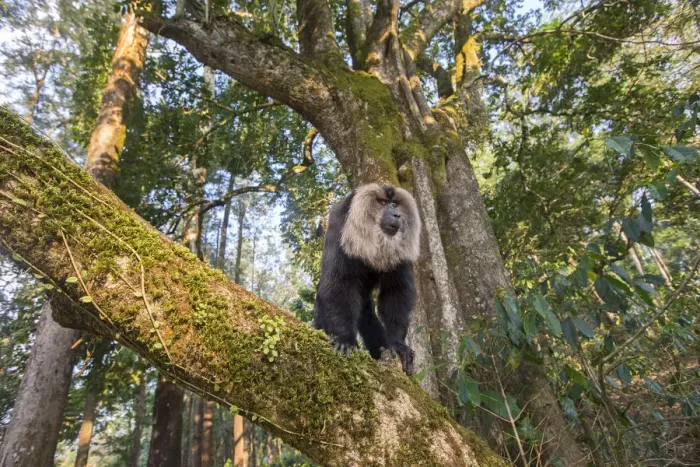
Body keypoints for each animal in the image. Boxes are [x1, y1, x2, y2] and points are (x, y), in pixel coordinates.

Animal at [313, 183, 421, 374]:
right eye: (383, 203)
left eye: (394, 204)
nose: (396, 214)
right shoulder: (340, 225)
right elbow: (337, 284)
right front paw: (345, 338)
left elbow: (397, 290)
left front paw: (397, 344)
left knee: (367, 314)